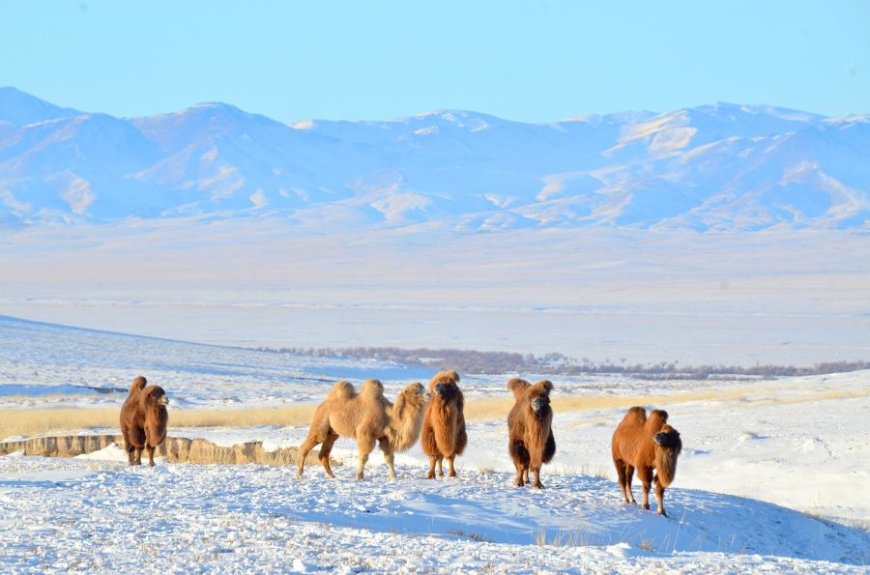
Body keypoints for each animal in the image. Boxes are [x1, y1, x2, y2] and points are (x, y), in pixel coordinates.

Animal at [296, 378, 430, 482]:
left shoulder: (384, 437)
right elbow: (364, 456)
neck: (388, 415)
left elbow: (389, 458)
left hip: (333, 433)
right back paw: (299, 475)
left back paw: (332, 476)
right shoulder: (366, 434)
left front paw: (393, 477)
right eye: (416, 392)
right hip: (321, 425)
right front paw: (359, 476)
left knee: (324, 453)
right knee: (307, 445)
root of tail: (323, 404)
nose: (428, 395)